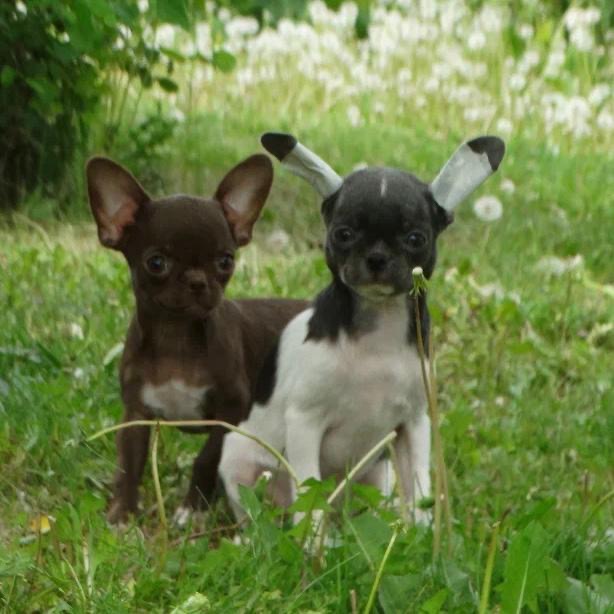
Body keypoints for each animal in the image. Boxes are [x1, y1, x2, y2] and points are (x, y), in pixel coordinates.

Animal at [86, 154, 307, 524]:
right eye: (156, 262)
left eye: (225, 261)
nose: (197, 281)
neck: (175, 337)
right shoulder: (136, 413)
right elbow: (129, 464)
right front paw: (123, 513)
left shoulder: (230, 410)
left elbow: (205, 458)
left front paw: (193, 510)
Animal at [219, 133, 505, 528]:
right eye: (344, 234)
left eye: (416, 238)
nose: (377, 258)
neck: (378, 331)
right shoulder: (305, 423)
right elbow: (309, 494)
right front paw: (313, 541)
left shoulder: (414, 425)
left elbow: (419, 489)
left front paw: (420, 535)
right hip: (239, 461)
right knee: (258, 512)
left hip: (377, 475)